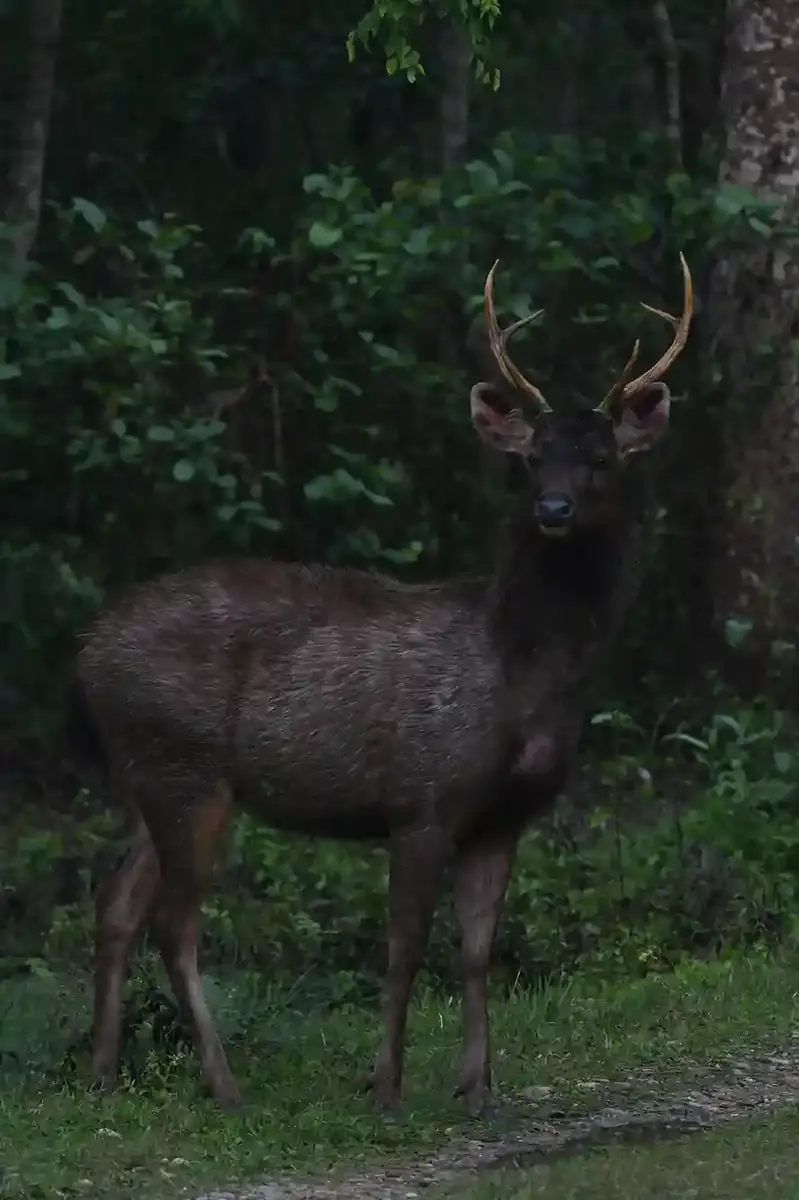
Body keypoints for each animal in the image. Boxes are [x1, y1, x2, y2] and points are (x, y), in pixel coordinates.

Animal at [70, 254, 692, 1118]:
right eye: (530, 456)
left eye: (600, 458)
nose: (554, 507)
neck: (523, 672)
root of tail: (84, 652)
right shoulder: (421, 795)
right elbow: (403, 949)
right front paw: (387, 1087)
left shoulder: (503, 816)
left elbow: (475, 951)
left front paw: (477, 1086)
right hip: (182, 766)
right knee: (174, 922)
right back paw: (223, 1084)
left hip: (146, 776)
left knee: (117, 901)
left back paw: (102, 1071)